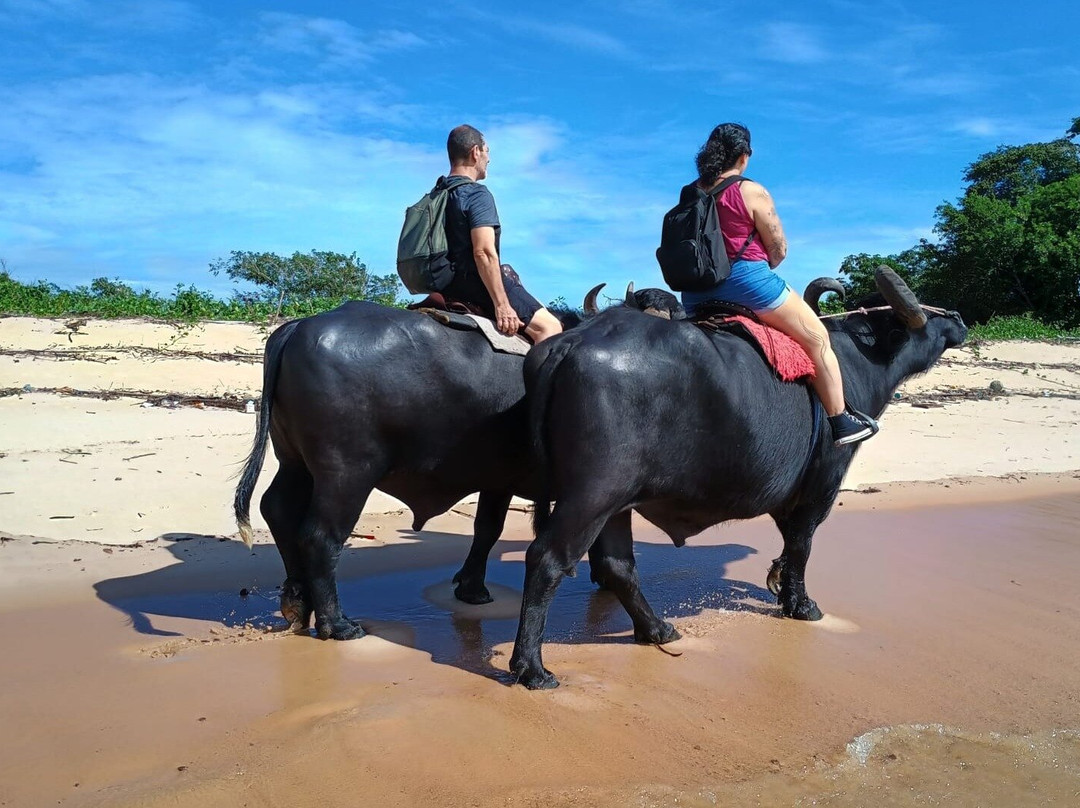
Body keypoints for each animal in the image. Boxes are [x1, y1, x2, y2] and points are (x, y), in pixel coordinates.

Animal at [233, 285, 682, 640]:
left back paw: (297, 602)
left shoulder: (499, 479)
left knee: (277, 509)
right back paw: (336, 623)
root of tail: (299, 327)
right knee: (320, 535)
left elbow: (487, 529)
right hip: (345, 473)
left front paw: (472, 588)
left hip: (295, 462)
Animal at [510, 268, 968, 688]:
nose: (958, 317)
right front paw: (802, 605)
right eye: (917, 310)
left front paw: (778, 583)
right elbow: (802, 544)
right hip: (592, 496)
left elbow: (788, 544)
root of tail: (570, 342)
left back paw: (657, 630)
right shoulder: (822, 484)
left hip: (618, 503)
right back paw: (532, 667)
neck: (855, 361)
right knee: (547, 559)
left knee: (617, 564)